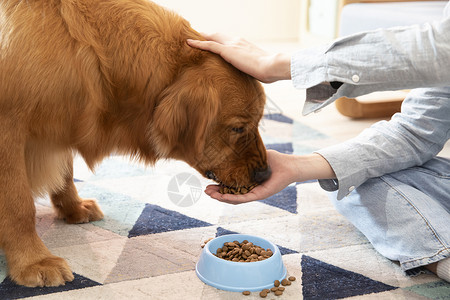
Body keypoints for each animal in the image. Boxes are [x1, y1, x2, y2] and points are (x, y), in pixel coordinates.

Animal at [0, 0, 270, 288]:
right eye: (238, 128)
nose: (265, 174)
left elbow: (66, 173)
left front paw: (73, 206)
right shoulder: (8, 129)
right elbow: (19, 205)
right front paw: (34, 260)